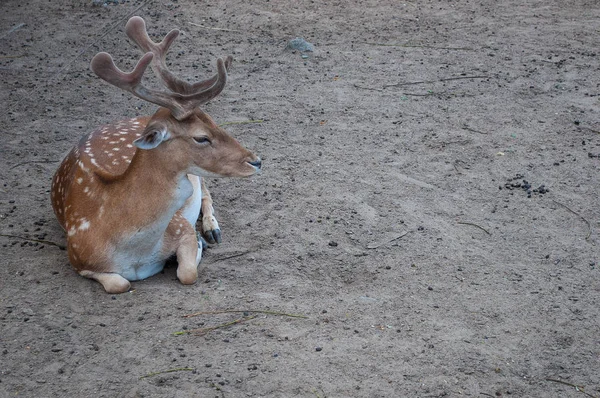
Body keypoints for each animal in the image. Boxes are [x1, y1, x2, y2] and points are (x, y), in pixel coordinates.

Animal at [49, 17, 260, 294]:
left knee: (206, 191)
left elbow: (187, 272)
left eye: (214, 121)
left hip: (197, 176)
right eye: (201, 137)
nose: (255, 161)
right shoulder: (77, 257)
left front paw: (200, 244)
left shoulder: (179, 225)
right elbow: (119, 283)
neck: (135, 252)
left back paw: (212, 230)